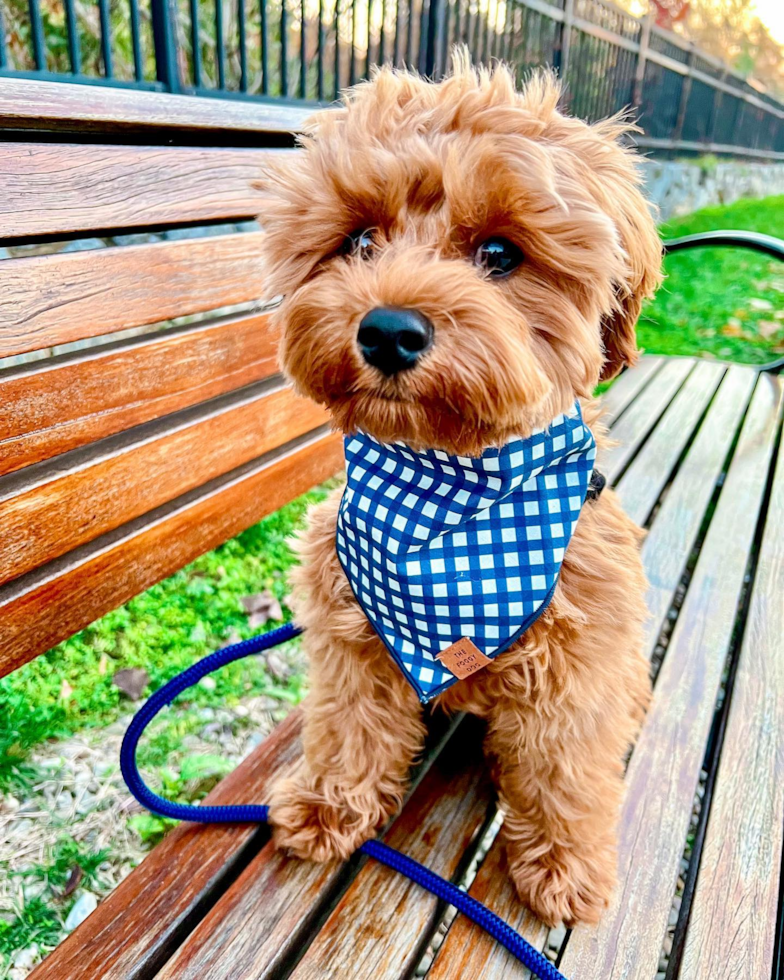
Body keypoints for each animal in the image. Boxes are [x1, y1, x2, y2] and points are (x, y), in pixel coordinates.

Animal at [262, 55, 660, 928]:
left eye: (501, 255)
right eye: (361, 241)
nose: (386, 331)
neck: (448, 499)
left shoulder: (578, 666)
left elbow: (565, 770)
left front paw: (568, 865)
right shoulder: (349, 633)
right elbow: (348, 724)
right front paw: (329, 805)